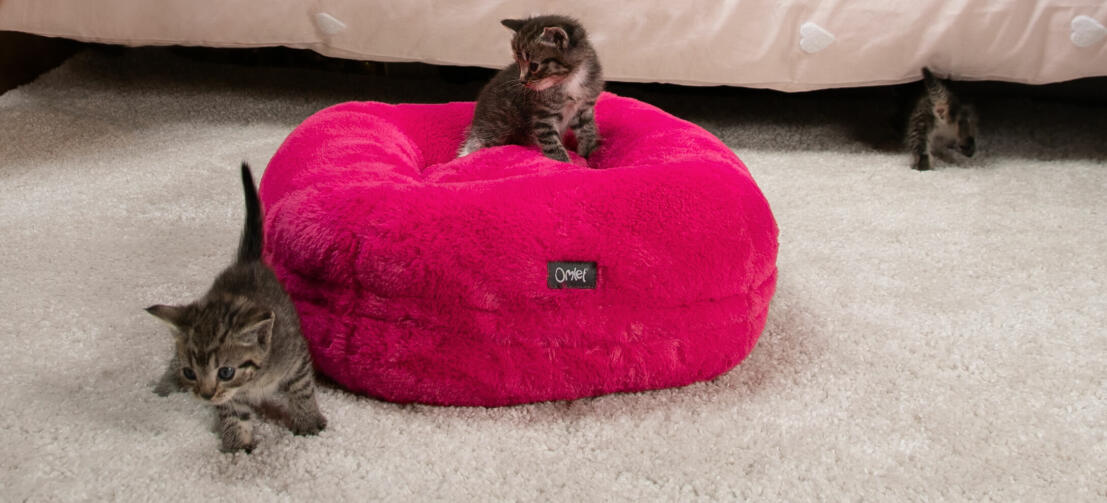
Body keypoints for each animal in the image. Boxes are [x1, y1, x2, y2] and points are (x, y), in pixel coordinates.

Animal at [146, 162, 323, 454]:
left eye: (226, 371)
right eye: (190, 372)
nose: (205, 395)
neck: (254, 380)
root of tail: (246, 262)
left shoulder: (295, 356)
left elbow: (303, 388)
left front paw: (309, 420)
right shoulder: (227, 396)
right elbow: (232, 412)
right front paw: (238, 444)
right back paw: (164, 388)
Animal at [456, 15, 606, 160]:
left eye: (534, 66)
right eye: (518, 63)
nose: (522, 81)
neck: (570, 79)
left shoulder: (584, 109)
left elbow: (588, 133)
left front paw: (587, 157)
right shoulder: (543, 117)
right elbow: (552, 145)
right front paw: (566, 163)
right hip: (492, 128)